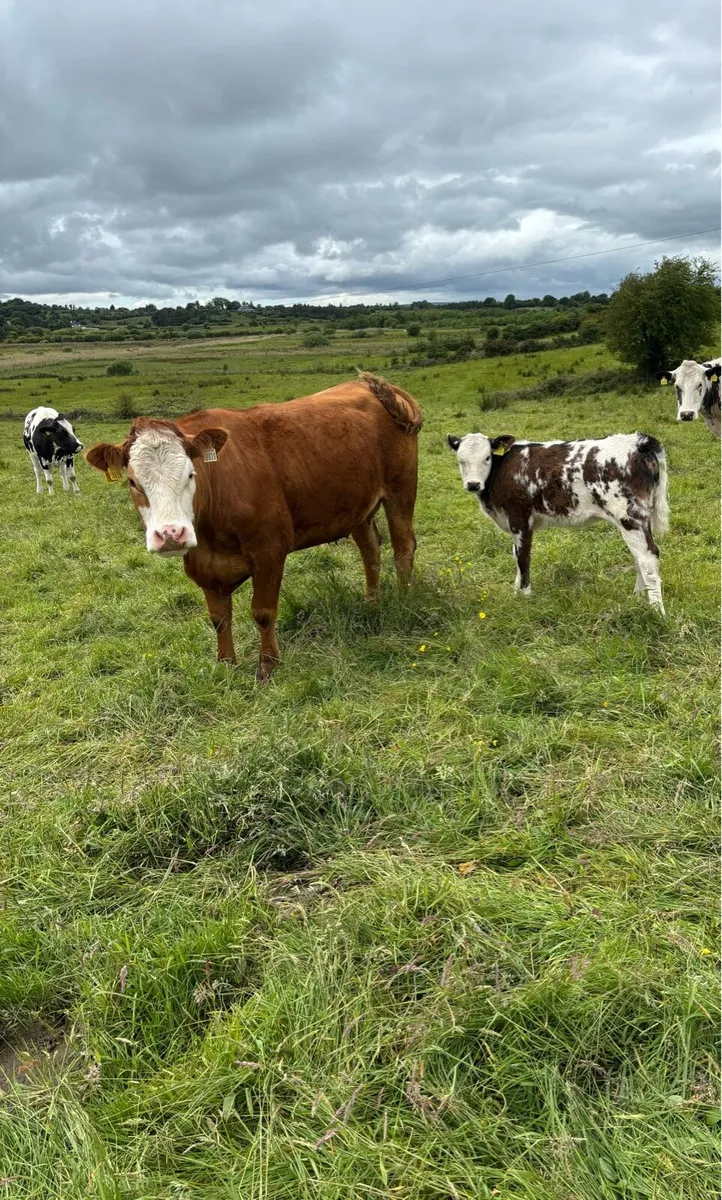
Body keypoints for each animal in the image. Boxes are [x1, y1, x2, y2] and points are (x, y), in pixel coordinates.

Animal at [85, 373, 422, 679]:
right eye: (133, 481)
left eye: (191, 474)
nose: (171, 535)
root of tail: (375, 386)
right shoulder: (204, 566)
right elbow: (219, 618)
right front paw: (226, 666)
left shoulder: (269, 552)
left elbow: (262, 612)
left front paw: (267, 665)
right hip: (357, 507)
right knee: (370, 551)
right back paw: (371, 602)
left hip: (401, 490)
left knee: (403, 546)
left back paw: (404, 601)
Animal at [447, 430, 669, 613]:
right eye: (460, 460)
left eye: (487, 458)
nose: (473, 484)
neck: (500, 472)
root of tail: (639, 442)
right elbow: (515, 555)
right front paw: (516, 591)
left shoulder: (520, 519)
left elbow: (523, 557)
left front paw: (525, 596)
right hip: (638, 518)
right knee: (639, 556)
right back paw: (637, 597)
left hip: (629, 515)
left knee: (648, 557)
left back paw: (656, 611)